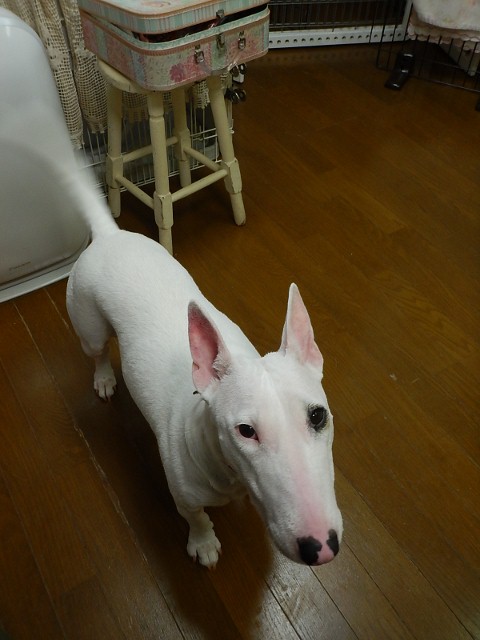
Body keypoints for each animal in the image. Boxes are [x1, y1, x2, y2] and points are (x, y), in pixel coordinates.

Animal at [66, 174, 343, 569]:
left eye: (318, 416)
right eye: (245, 431)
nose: (320, 547)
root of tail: (109, 235)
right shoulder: (183, 492)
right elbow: (195, 516)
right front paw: (204, 544)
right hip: (88, 323)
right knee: (98, 351)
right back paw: (103, 378)